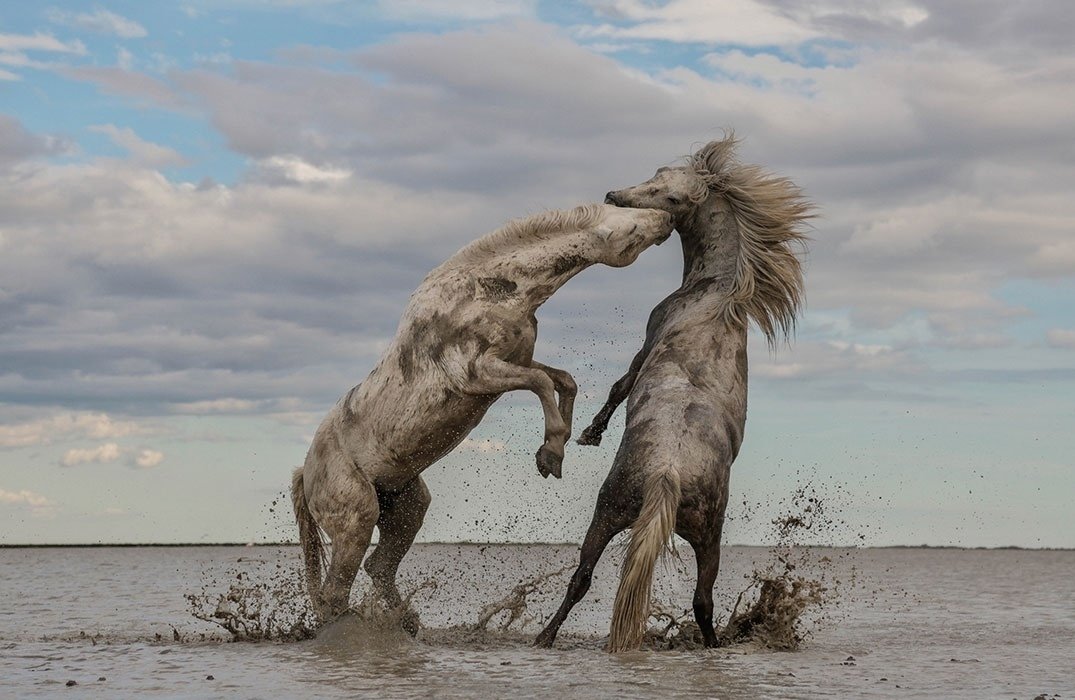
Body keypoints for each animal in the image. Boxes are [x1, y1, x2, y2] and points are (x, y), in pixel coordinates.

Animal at [290, 202, 666, 623]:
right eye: (630, 228)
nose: (666, 218)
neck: (486, 293)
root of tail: (306, 473)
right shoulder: (478, 374)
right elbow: (539, 382)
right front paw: (551, 452)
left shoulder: (515, 360)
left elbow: (563, 381)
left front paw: (568, 440)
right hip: (357, 519)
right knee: (335, 594)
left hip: (406, 506)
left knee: (378, 567)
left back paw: (408, 624)